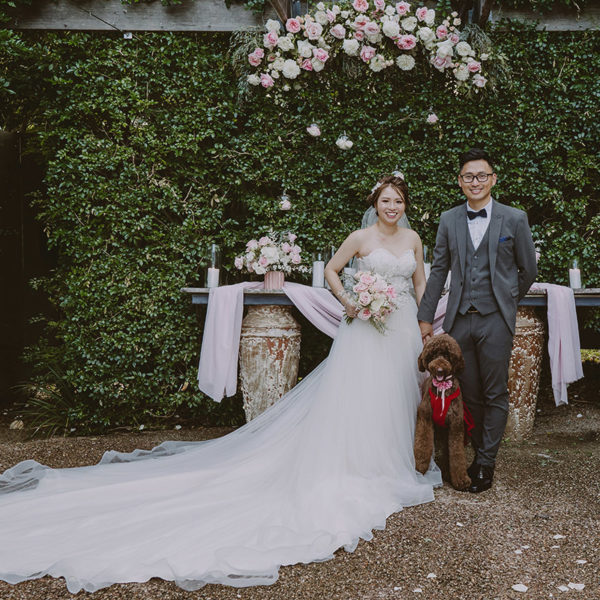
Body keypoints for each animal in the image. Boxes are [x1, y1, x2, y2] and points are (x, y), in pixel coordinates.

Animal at [414, 334, 473, 491]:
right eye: (433, 355)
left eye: (447, 355)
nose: (439, 369)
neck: (442, 388)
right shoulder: (425, 418)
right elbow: (422, 445)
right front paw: (419, 468)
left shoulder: (456, 425)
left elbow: (457, 454)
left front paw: (461, 479)